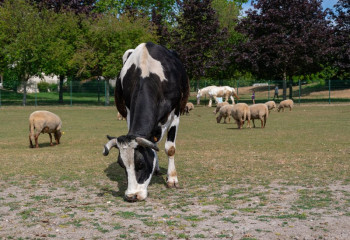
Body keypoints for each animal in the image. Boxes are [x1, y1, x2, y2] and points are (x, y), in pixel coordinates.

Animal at [103, 42, 189, 202]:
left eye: (141, 164)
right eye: (122, 165)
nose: (132, 196)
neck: (147, 73)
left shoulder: (175, 113)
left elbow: (170, 148)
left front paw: (172, 179)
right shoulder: (129, 112)